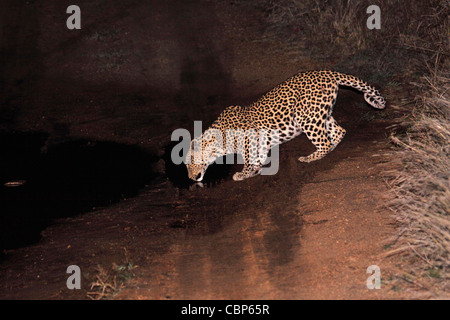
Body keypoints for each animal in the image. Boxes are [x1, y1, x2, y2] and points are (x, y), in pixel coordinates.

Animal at [185, 70, 384, 181]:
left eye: (190, 163)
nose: (191, 178)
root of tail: (328, 72)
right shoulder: (259, 143)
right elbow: (259, 158)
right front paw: (254, 171)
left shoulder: (249, 141)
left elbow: (249, 159)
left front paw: (243, 174)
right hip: (322, 114)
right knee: (338, 132)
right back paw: (331, 148)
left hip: (306, 117)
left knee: (325, 142)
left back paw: (309, 158)